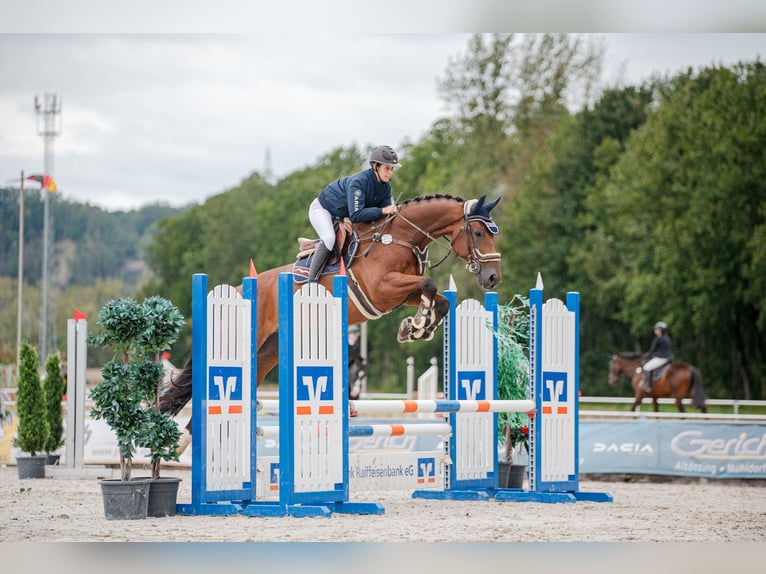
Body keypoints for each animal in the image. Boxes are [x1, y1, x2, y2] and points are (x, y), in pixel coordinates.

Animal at [160, 195, 508, 450]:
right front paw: (417, 324)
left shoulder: (398, 293)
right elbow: (429, 285)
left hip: (268, 352)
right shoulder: (382, 289)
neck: (399, 237)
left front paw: (417, 326)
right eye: (478, 233)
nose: (493, 278)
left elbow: (439, 298)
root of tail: (233, 291)